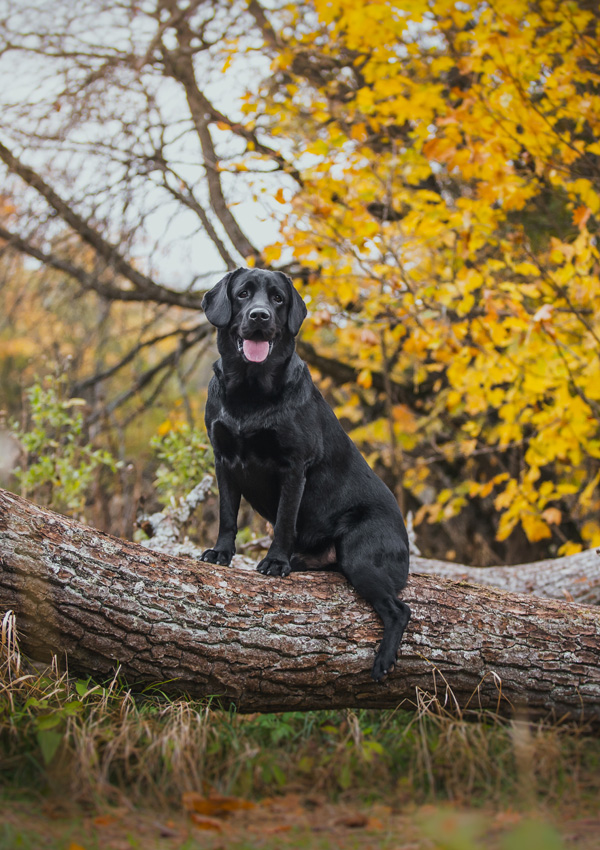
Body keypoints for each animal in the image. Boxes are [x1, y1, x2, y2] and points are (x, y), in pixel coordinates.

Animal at [199, 268, 410, 680]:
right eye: (243, 294)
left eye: (278, 298)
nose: (260, 316)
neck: (251, 390)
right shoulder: (223, 460)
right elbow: (227, 516)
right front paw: (221, 553)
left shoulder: (293, 466)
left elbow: (284, 521)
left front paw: (275, 562)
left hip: (361, 556)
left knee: (400, 610)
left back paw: (383, 662)